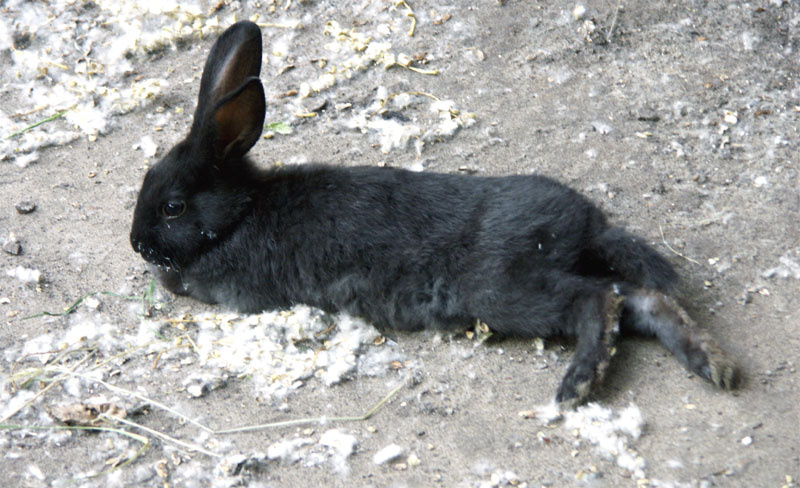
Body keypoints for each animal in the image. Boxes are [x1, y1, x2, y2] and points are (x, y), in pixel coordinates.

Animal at [130, 21, 738, 406]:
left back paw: (577, 386)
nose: (136, 243)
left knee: (600, 302)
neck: (239, 215)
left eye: (172, 206)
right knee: (637, 298)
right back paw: (714, 366)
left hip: (508, 288)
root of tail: (590, 224)